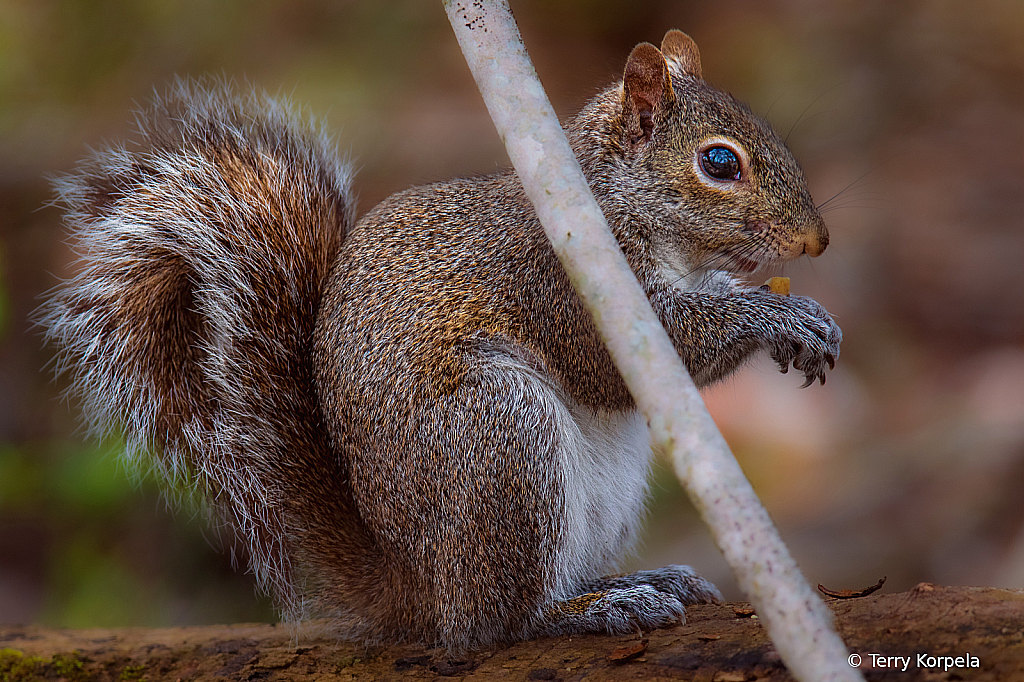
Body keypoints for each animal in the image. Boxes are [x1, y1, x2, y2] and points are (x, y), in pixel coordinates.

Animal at [39, 31, 839, 647]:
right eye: (719, 162)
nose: (816, 241)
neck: (609, 202)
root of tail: (415, 587)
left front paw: (808, 318)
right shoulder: (565, 279)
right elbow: (632, 357)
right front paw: (778, 318)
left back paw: (633, 579)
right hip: (501, 440)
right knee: (491, 624)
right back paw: (585, 610)